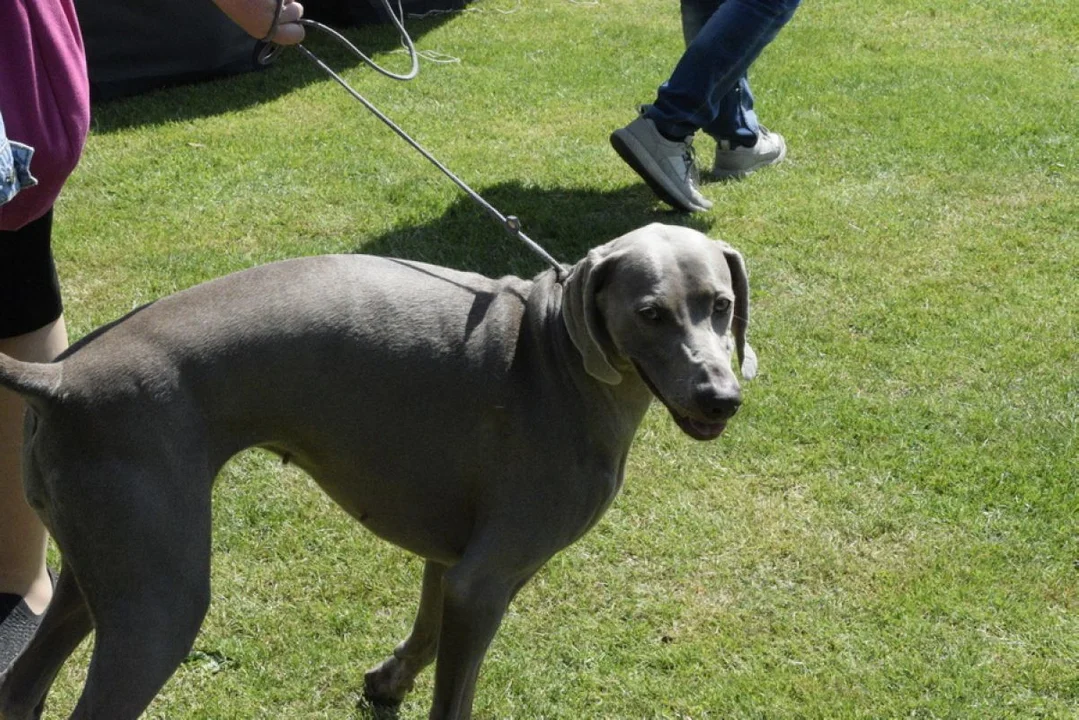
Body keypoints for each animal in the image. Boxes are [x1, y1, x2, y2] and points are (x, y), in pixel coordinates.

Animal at [0, 222, 759, 716]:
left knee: (21, 688)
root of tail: (61, 379)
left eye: (721, 306)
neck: (556, 356)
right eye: (650, 313)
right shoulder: (488, 580)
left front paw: (388, 681)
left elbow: (425, 631)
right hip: (161, 600)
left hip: (95, 569)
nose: (720, 397)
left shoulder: (451, 562)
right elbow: (456, 697)